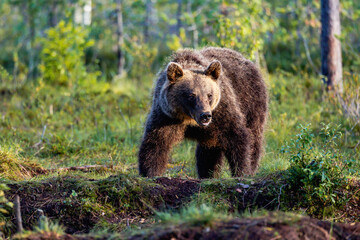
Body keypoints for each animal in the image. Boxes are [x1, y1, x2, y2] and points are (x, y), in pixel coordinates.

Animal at [138, 47, 268, 178]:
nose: (205, 115)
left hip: (251, 101)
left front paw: (242, 171)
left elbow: (236, 136)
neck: (189, 118)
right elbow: (156, 143)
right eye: (191, 95)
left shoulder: (221, 112)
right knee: (209, 151)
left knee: (254, 136)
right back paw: (208, 173)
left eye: (209, 95)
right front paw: (150, 172)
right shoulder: (166, 116)